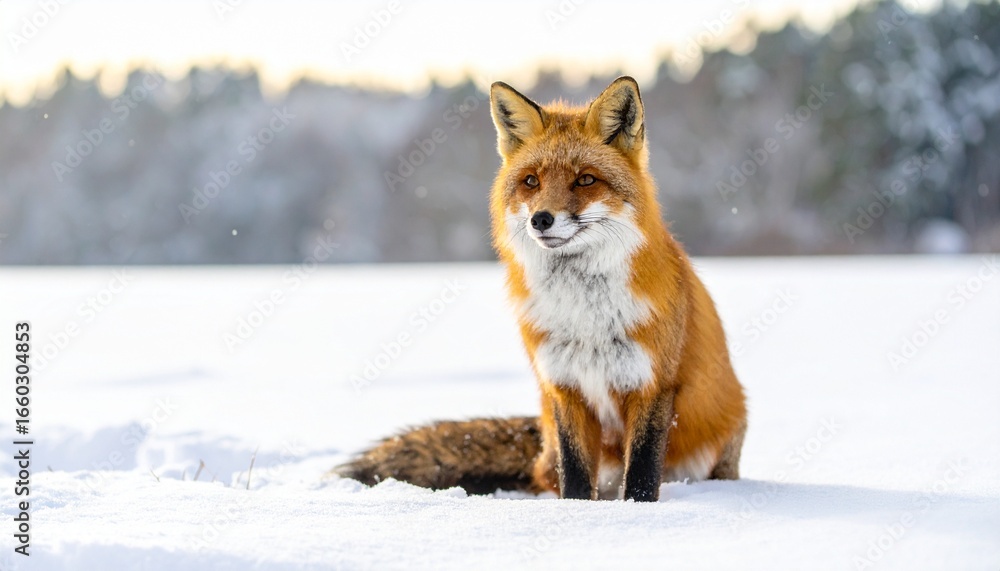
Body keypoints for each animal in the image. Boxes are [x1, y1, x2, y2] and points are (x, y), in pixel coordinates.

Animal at [336, 77, 747, 501]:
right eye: (531, 181)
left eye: (585, 179)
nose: (541, 219)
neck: (586, 317)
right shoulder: (563, 386)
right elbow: (576, 475)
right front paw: (575, 512)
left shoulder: (652, 385)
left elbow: (642, 475)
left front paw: (637, 510)